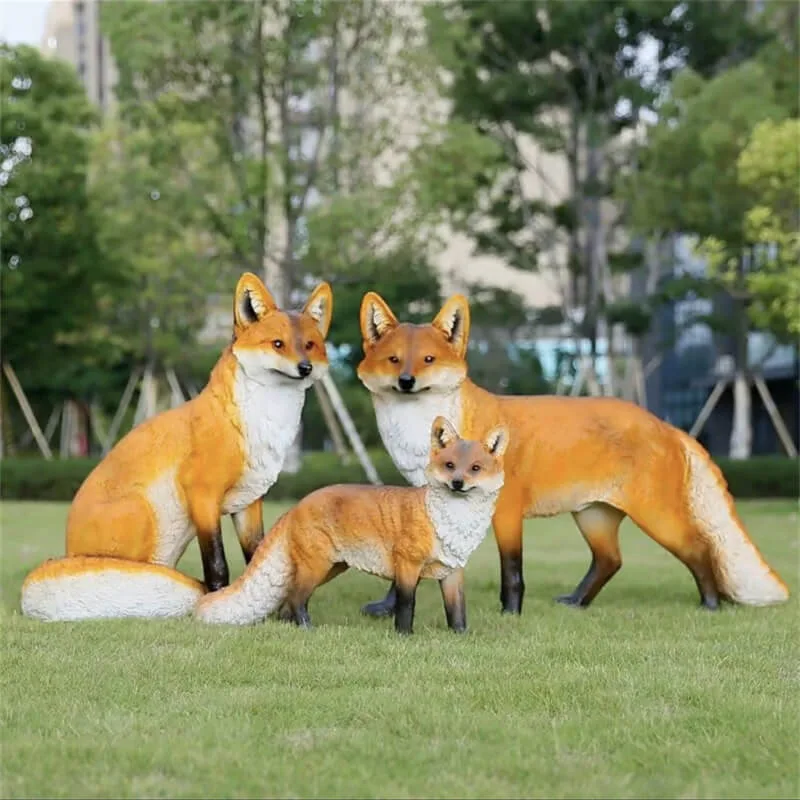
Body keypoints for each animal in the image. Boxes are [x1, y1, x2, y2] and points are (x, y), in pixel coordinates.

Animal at [20, 272, 333, 622]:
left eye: (310, 345)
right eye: (277, 344)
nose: (305, 367)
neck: (257, 428)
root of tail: (67, 551)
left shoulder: (248, 502)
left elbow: (257, 557)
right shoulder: (202, 495)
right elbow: (217, 565)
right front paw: (215, 605)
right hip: (145, 515)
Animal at [194, 416, 509, 634]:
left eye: (475, 469)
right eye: (450, 466)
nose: (457, 483)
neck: (454, 525)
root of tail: (296, 506)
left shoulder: (452, 571)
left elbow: (457, 614)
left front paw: (461, 639)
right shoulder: (407, 565)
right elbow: (406, 606)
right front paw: (404, 637)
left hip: (331, 568)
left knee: (286, 604)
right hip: (317, 567)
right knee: (296, 600)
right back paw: (308, 630)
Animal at [355, 291, 790, 619]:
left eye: (428, 360)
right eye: (394, 360)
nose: (406, 381)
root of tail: (666, 426)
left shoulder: (507, 508)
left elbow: (512, 570)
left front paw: (510, 614)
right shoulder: (424, 509)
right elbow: (408, 564)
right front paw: (387, 608)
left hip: (657, 516)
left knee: (701, 548)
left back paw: (710, 605)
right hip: (594, 516)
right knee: (611, 560)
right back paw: (577, 602)